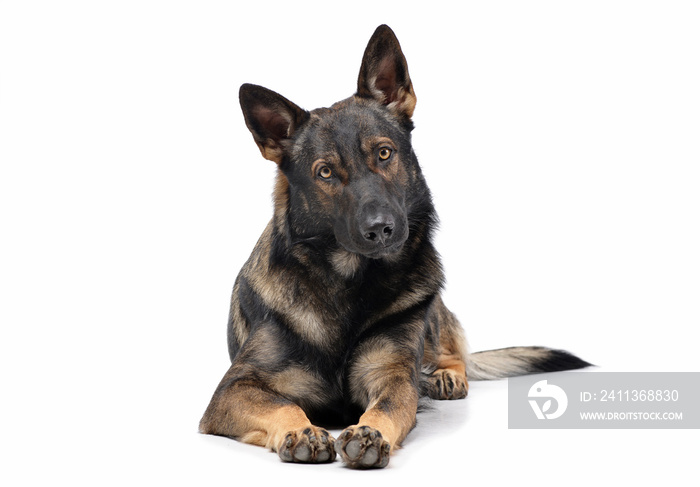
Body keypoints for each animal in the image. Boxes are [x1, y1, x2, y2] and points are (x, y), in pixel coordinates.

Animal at [201, 25, 592, 468]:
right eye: (326, 173)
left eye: (384, 153)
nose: (381, 229)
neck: (349, 282)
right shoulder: (235, 387)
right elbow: (284, 404)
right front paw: (301, 430)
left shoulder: (392, 377)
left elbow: (388, 406)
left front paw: (370, 433)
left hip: (431, 313)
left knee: (452, 349)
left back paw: (446, 375)